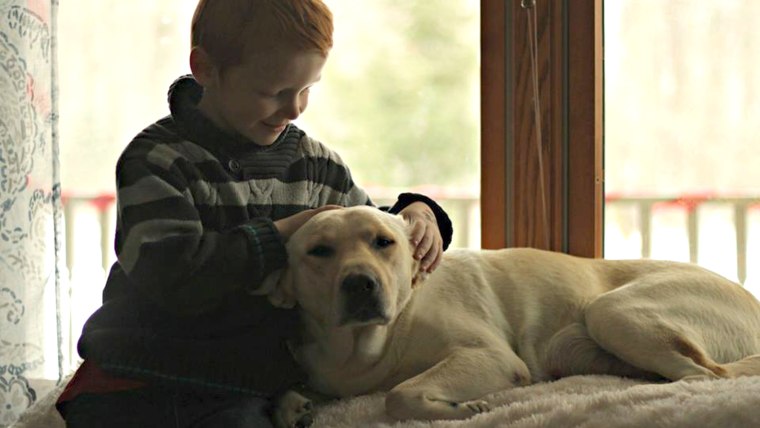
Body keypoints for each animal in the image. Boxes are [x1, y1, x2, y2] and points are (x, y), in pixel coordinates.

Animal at [260, 206, 760, 426]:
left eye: (384, 242)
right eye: (319, 251)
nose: (360, 283)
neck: (365, 347)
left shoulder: (491, 358)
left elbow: (397, 395)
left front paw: (458, 408)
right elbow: (283, 393)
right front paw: (295, 407)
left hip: (612, 311)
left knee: (704, 376)